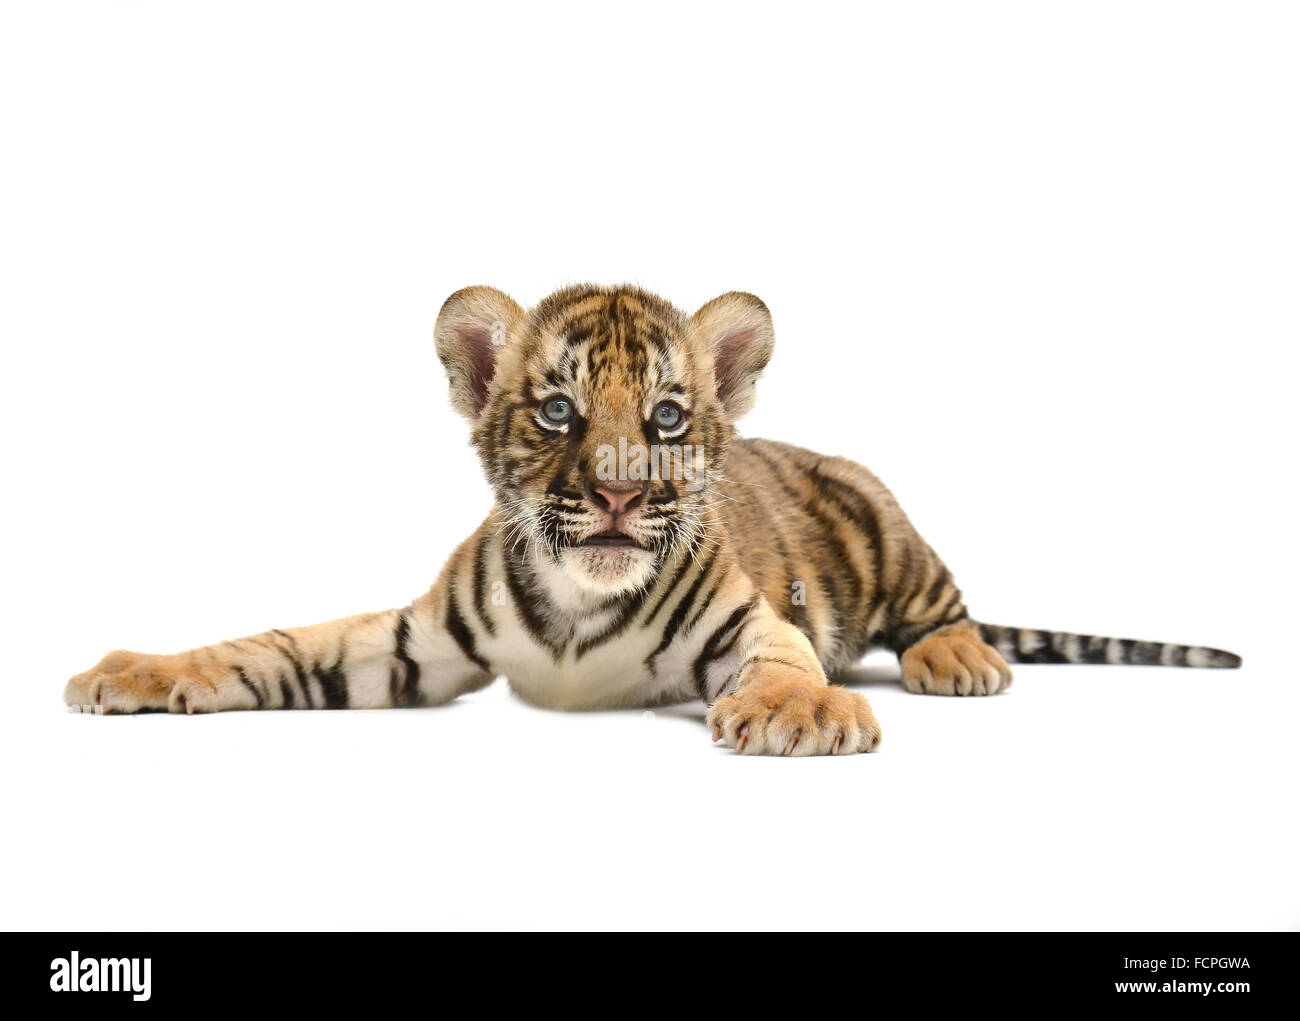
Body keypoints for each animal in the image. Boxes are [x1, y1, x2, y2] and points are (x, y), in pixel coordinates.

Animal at [63, 283, 1241, 755]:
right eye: (558, 410)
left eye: (668, 415)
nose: (623, 492)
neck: (576, 611)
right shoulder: (408, 644)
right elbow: (264, 647)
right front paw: (128, 671)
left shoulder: (749, 624)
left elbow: (782, 661)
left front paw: (803, 716)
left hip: (890, 528)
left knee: (946, 606)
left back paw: (959, 658)